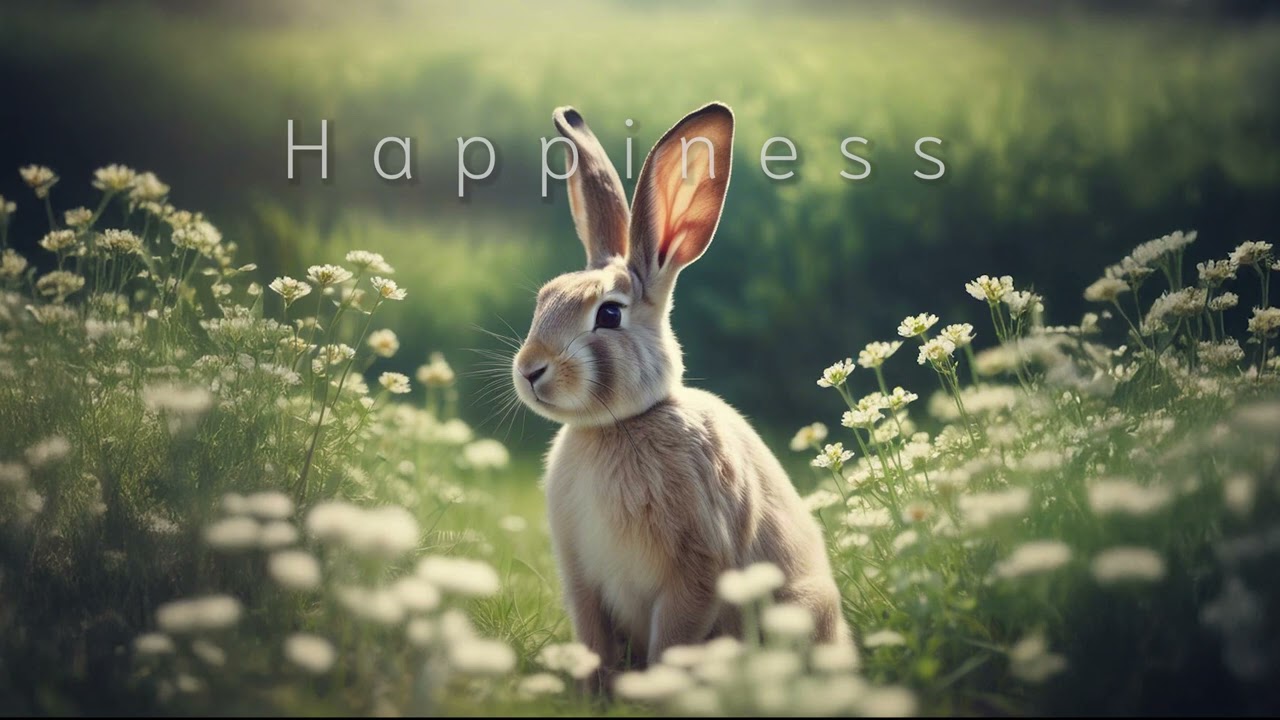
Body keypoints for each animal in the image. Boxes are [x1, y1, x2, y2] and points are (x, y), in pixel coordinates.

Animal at [512, 102, 851, 690]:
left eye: (608, 314)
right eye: (544, 299)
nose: (530, 369)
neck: (618, 425)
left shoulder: (696, 566)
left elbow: (672, 640)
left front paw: (652, 695)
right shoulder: (581, 577)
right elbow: (594, 641)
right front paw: (596, 692)